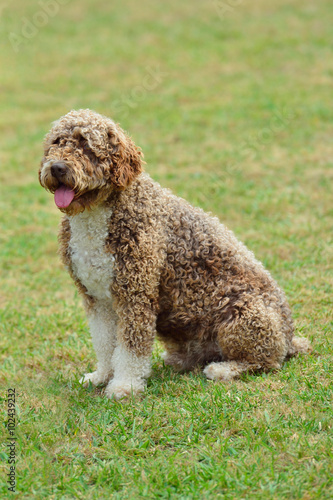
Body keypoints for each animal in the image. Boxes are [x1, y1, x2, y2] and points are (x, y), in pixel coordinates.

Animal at [38, 108, 308, 398]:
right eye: (57, 142)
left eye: (87, 146)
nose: (57, 167)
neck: (96, 214)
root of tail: (289, 337)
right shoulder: (96, 298)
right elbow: (104, 344)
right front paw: (101, 376)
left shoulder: (135, 294)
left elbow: (131, 349)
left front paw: (124, 385)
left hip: (243, 316)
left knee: (265, 362)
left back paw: (223, 369)